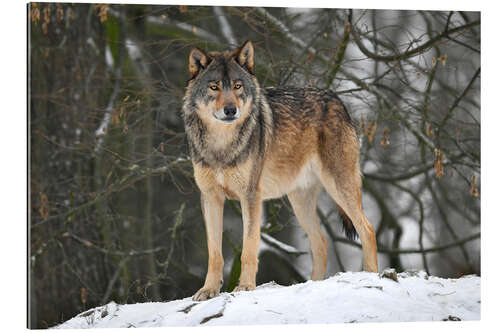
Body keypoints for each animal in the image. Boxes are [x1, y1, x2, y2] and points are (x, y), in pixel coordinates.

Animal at [182, 40, 376, 300]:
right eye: (214, 87)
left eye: (237, 86)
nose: (231, 110)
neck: (221, 146)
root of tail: (337, 99)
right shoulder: (210, 197)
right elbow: (214, 253)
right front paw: (208, 290)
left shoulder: (251, 196)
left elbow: (249, 247)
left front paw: (245, 287)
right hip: (300, 202)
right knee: (321, 241)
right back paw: (312, 285)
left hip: (339, 187)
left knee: (367, 229)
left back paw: (371, 275)